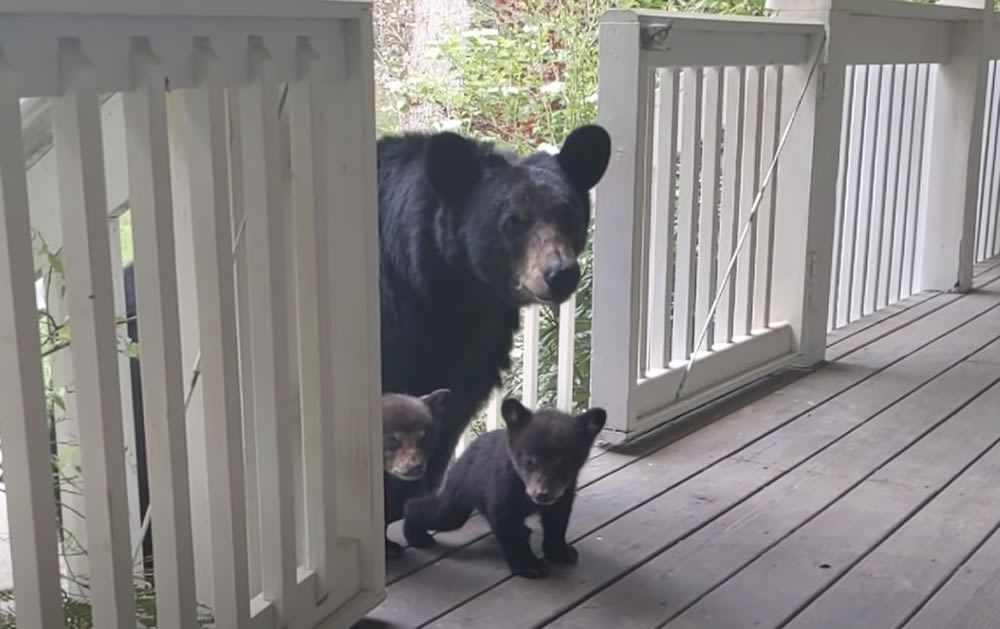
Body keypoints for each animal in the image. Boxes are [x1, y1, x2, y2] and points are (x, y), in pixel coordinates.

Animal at [402, 400, 604, 576]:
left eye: (565, 463)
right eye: (530, 461)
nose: (542, 494)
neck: (523, 487)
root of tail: (466, 452)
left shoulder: (564, 493)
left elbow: (557, 521)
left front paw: (560, 551)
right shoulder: (503, 484)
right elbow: (505, 520)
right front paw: (528, 565)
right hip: (460, 488)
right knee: (441, 512)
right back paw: (416, 535)